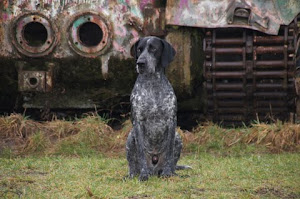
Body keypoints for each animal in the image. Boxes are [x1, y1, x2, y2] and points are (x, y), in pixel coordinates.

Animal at [125, 35, 191, 180]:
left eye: (153, 49)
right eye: (139, 49)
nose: (140, 63)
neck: (152, 84)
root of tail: (154, 169)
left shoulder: (171, 121)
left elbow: (169, 152)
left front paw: (167, 174)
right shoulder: (138, 122)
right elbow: (141, 153)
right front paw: (143, 175)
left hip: (178, 137)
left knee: (172, 163)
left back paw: (172, 173)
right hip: (130, 137)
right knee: (133, 166)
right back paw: (132, 175)